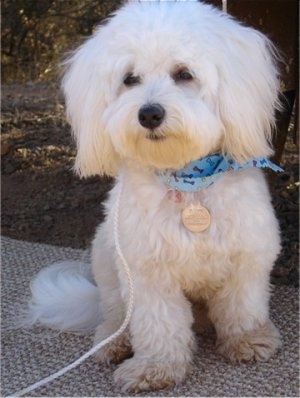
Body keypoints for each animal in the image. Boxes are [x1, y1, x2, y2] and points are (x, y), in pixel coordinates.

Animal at [26, 0, 284, 392]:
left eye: (184, 74)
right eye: (130, 78)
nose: (149, 113)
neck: (186, 180)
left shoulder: (248, 254)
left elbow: (243, 304)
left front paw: (248, 340)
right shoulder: (147, 272)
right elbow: (159, 324)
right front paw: (155, 367)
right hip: (107, 259)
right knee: (113, 313)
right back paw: (115, 342)